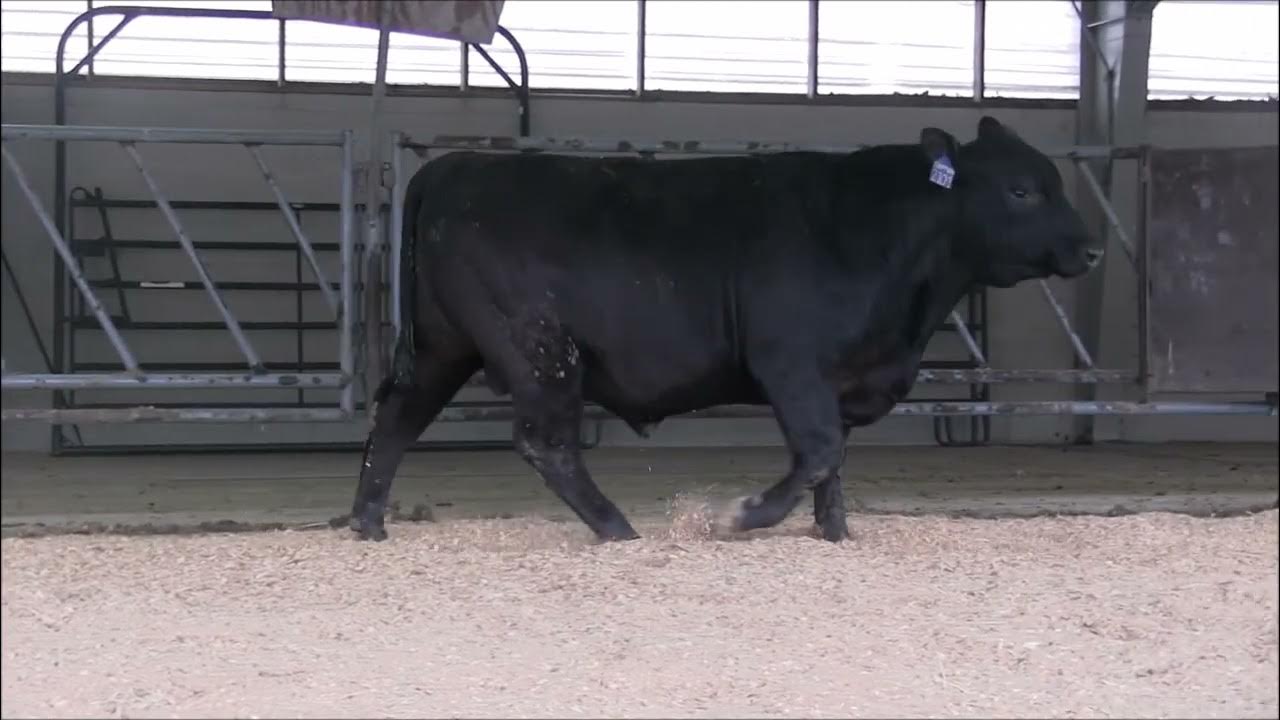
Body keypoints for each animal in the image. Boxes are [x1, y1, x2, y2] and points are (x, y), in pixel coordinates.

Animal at [347, 115, 1102, 544]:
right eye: (1020, 190)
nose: (1092, 249)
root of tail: (461, 163)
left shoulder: (843, 377)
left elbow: (834, 462)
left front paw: (836, 532)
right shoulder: (790, 363)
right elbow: (820, 451)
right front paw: (739, 516)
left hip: (446, 346)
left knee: (398, 417)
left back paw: (368, 520)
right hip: (538, 350)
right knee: (545, 442)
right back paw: (618, 529)